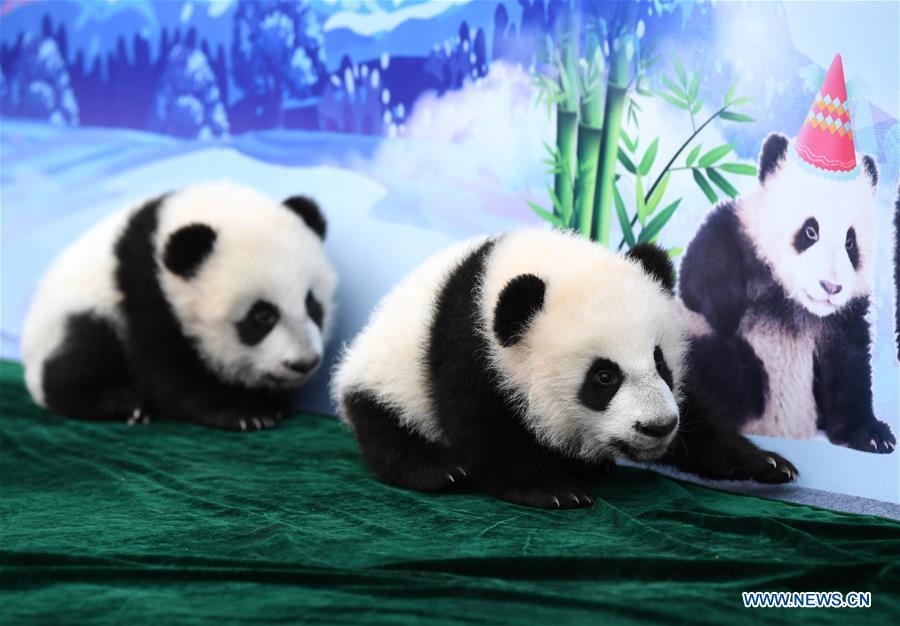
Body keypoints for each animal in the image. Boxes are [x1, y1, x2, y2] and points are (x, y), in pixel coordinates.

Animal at [21, 181, 337, 431]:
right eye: (262, 315)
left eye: (312, 304)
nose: (304, 363)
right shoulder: (143, 292)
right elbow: (167, 372)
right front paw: (246, 412)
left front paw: (271, 402)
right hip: (75, 316)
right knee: (80, 354)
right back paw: (123, 404)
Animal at [332, 229, 797, 509]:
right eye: (604, 377)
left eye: (660, 362)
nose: (658, 427)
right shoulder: (469, 350)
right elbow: (485, 426)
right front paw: (552, 489)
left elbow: (698, 418)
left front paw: (767, 464)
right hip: (388, 379)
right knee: (386, 428)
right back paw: (438, 469)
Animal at [679, 133, 895, 453]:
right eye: (810, 231)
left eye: (850, 242)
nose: (831, 288)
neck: (792, 302)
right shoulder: (740, 238)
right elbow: (701, 273)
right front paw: (724, 307)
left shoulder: (843, 318)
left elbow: (849, 365)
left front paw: (873, 434)